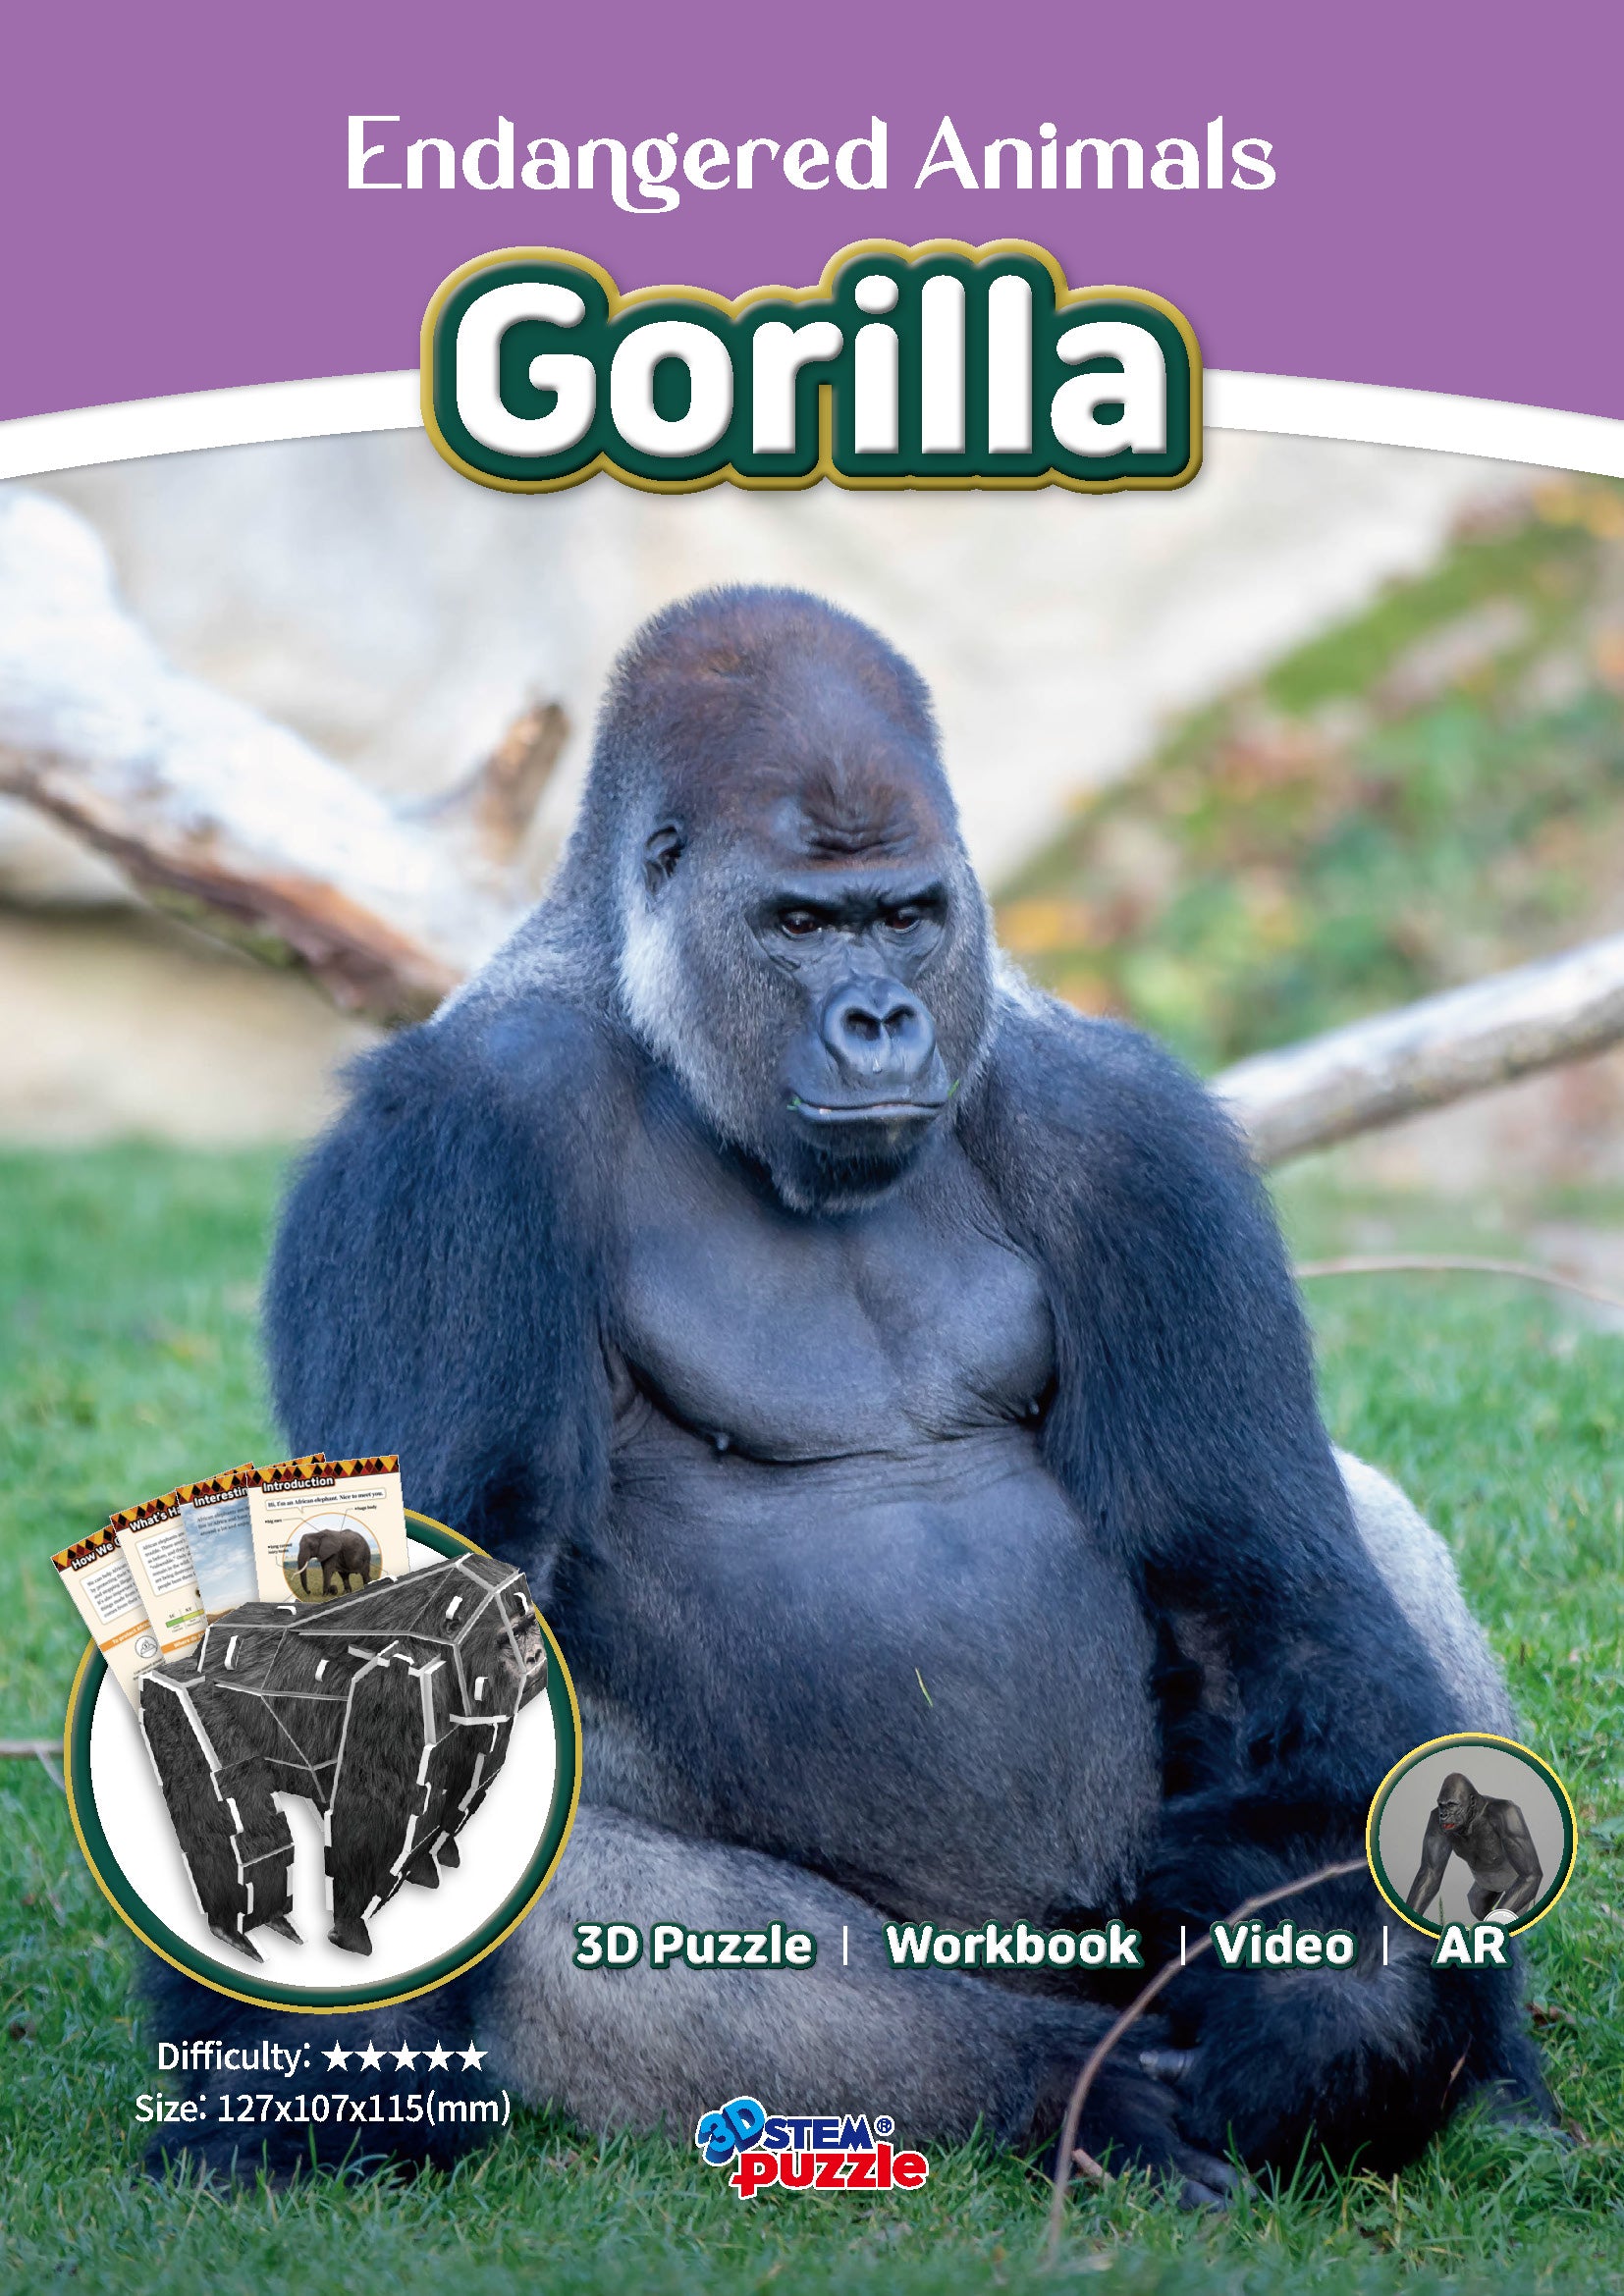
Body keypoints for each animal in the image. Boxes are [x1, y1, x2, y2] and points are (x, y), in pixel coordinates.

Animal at [1407, 1773, 1545, 1925]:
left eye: (1451, 1804)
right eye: (1441, 1805)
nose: (1443, 1815)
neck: (1473, 1817)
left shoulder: (1508, 1814)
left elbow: (1530, 1874)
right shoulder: (1435, 1822)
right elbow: (1431, 1872)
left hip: (1514, 1883)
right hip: (1487, 1884)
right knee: (1476, 1902)